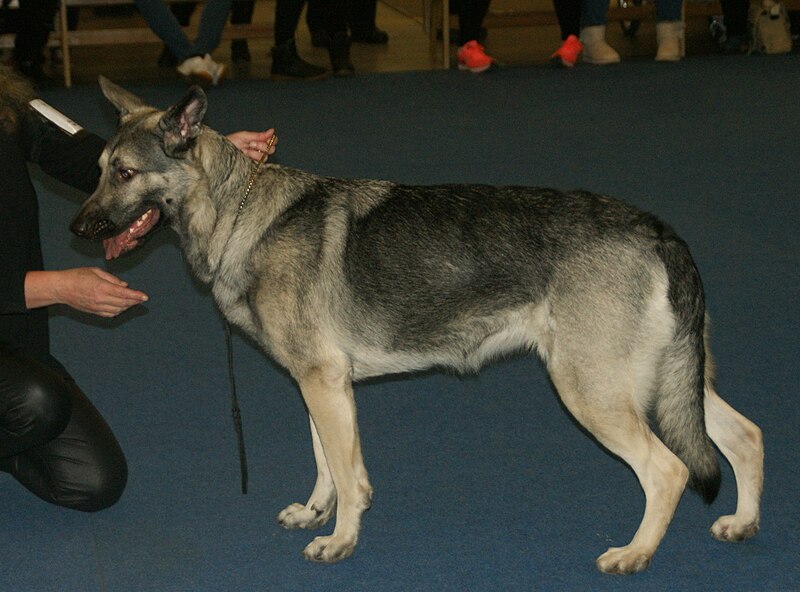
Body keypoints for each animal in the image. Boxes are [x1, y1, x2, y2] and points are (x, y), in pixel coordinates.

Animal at [70, 80, 764, 572]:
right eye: (97, 168)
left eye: (124, 173)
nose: (78, 228)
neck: (243, 216)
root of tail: (656, 229)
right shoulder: (319, 387)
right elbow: (327, 463)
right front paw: (317, 514)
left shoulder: (323, 383)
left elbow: (349, 477)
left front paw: (340, 541)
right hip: (669, 386)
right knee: (746, 437)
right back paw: (742, 523)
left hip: (594, 393)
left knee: (669, 471)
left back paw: (635, 554)